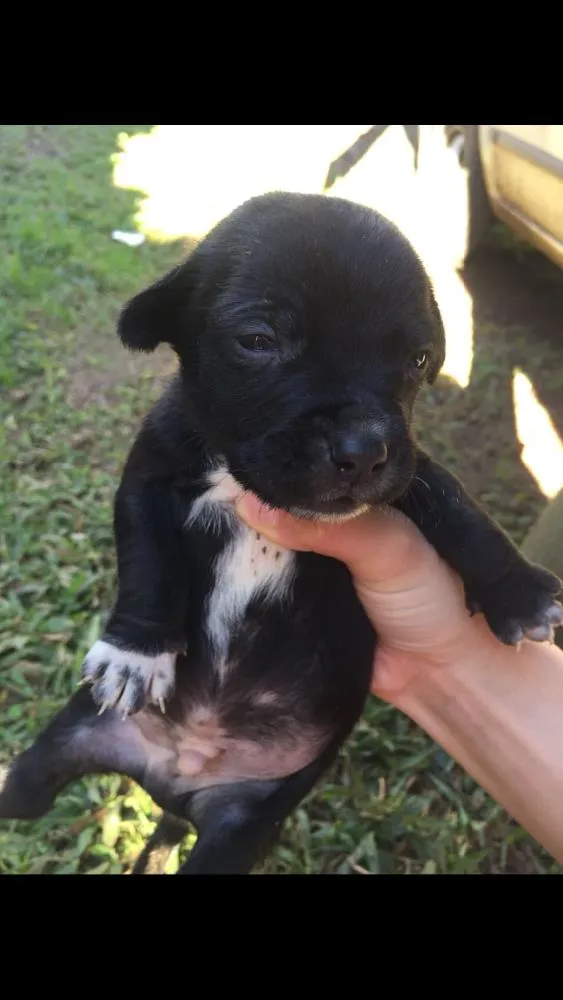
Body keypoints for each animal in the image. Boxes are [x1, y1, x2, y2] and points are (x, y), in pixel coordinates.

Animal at [2, 189, 560, 876]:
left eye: (418, 360)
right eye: (259, 340)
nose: (364, 448)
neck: (240, 477)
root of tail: (175, 777)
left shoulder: (410, 477)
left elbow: (457, 506)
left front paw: (517, 592)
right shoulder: (147, 483)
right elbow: (150, 566)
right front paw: (138, 653)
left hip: (241, 829)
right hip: (47, 764)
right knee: (24, 788)